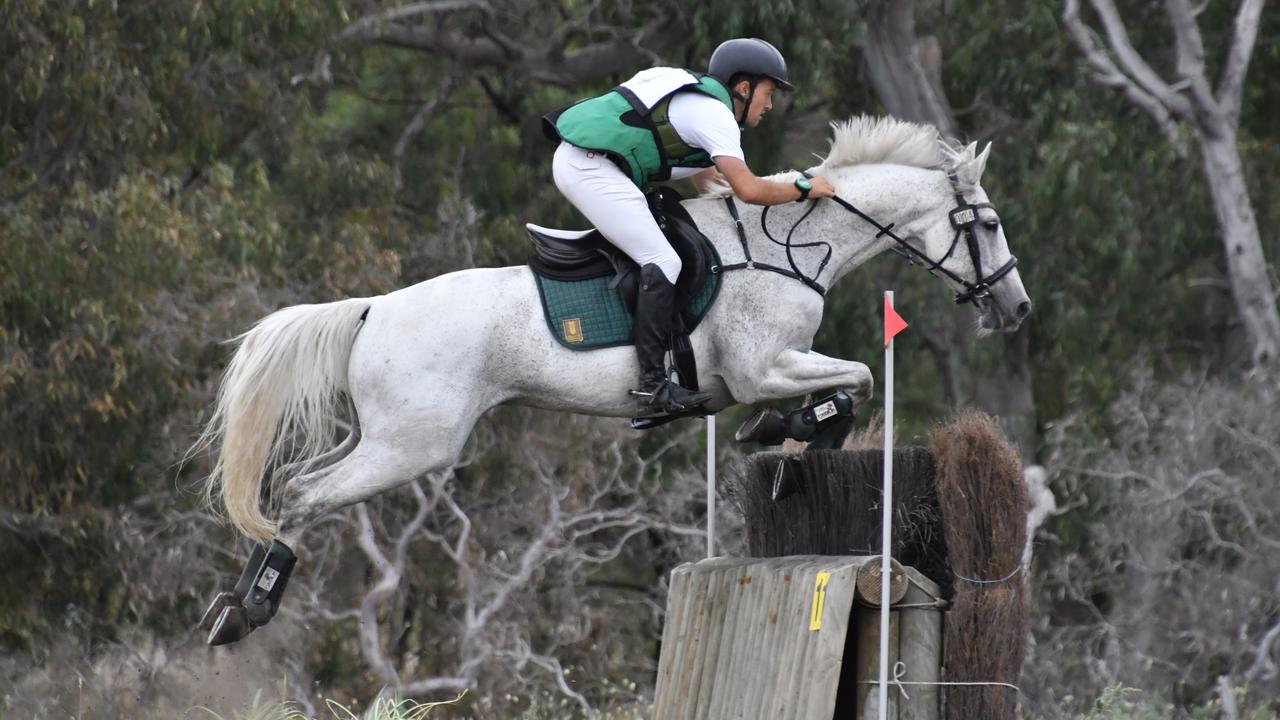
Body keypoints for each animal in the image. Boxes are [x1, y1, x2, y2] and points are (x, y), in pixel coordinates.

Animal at [197, 114, 1029, 640]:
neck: (788, 244)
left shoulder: (768, 369)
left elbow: (847, 382)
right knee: (303, 497)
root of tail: (373, 308)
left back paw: (234, 606)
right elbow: (855, 378)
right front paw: (795, 432)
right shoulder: (761, 367)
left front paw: (788, 434)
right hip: (413, 445)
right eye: (988, 225)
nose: (1016, 308)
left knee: (293, 484)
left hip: (382, 437)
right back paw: (250, 609)